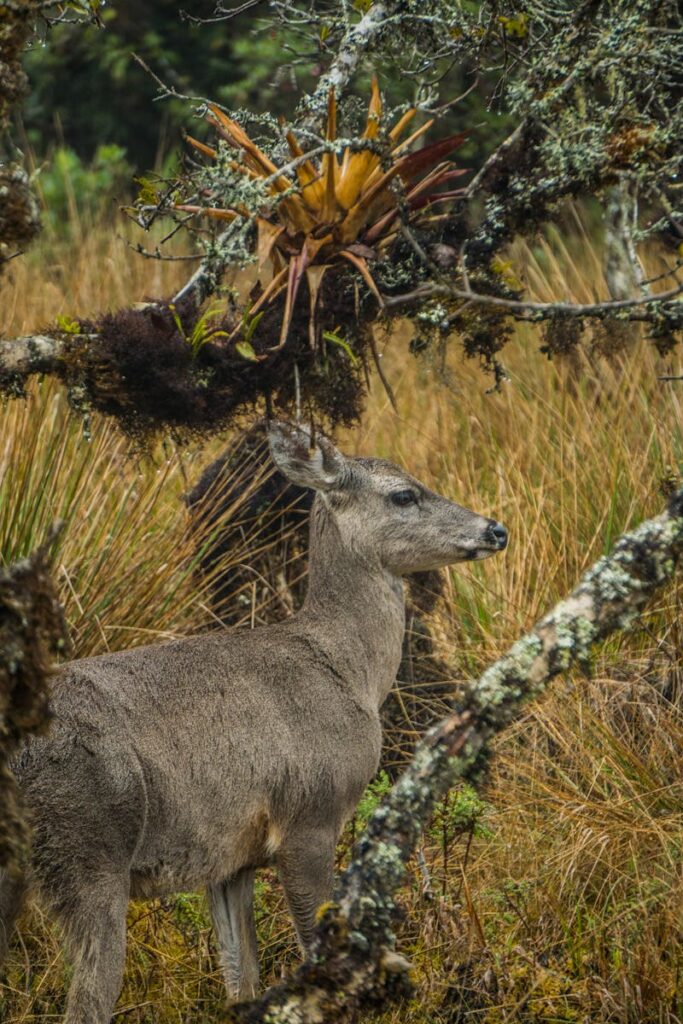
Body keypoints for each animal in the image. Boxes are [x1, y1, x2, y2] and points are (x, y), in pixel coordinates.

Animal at [0, 421, 508, 1024]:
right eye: (404, 494)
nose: (495, 529)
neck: (349, 671)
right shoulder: (311, 815)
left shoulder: (230, 859)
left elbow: (241, 980)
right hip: (89, 850)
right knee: (90, 999)